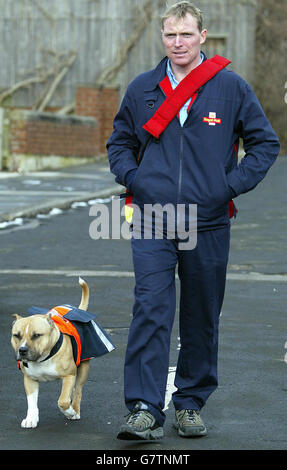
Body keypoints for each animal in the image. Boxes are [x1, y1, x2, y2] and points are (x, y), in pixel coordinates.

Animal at [11, 278, 115, 428]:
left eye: (37, 335)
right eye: (16, 335)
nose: (22, 350)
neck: (44, 357)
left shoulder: (69, 375)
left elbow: (63, 401)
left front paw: (70, 412)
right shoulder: (30, 379)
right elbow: (32, 402)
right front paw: (31, 418)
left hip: (83, 368)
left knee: (77, 390)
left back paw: (75, 410)